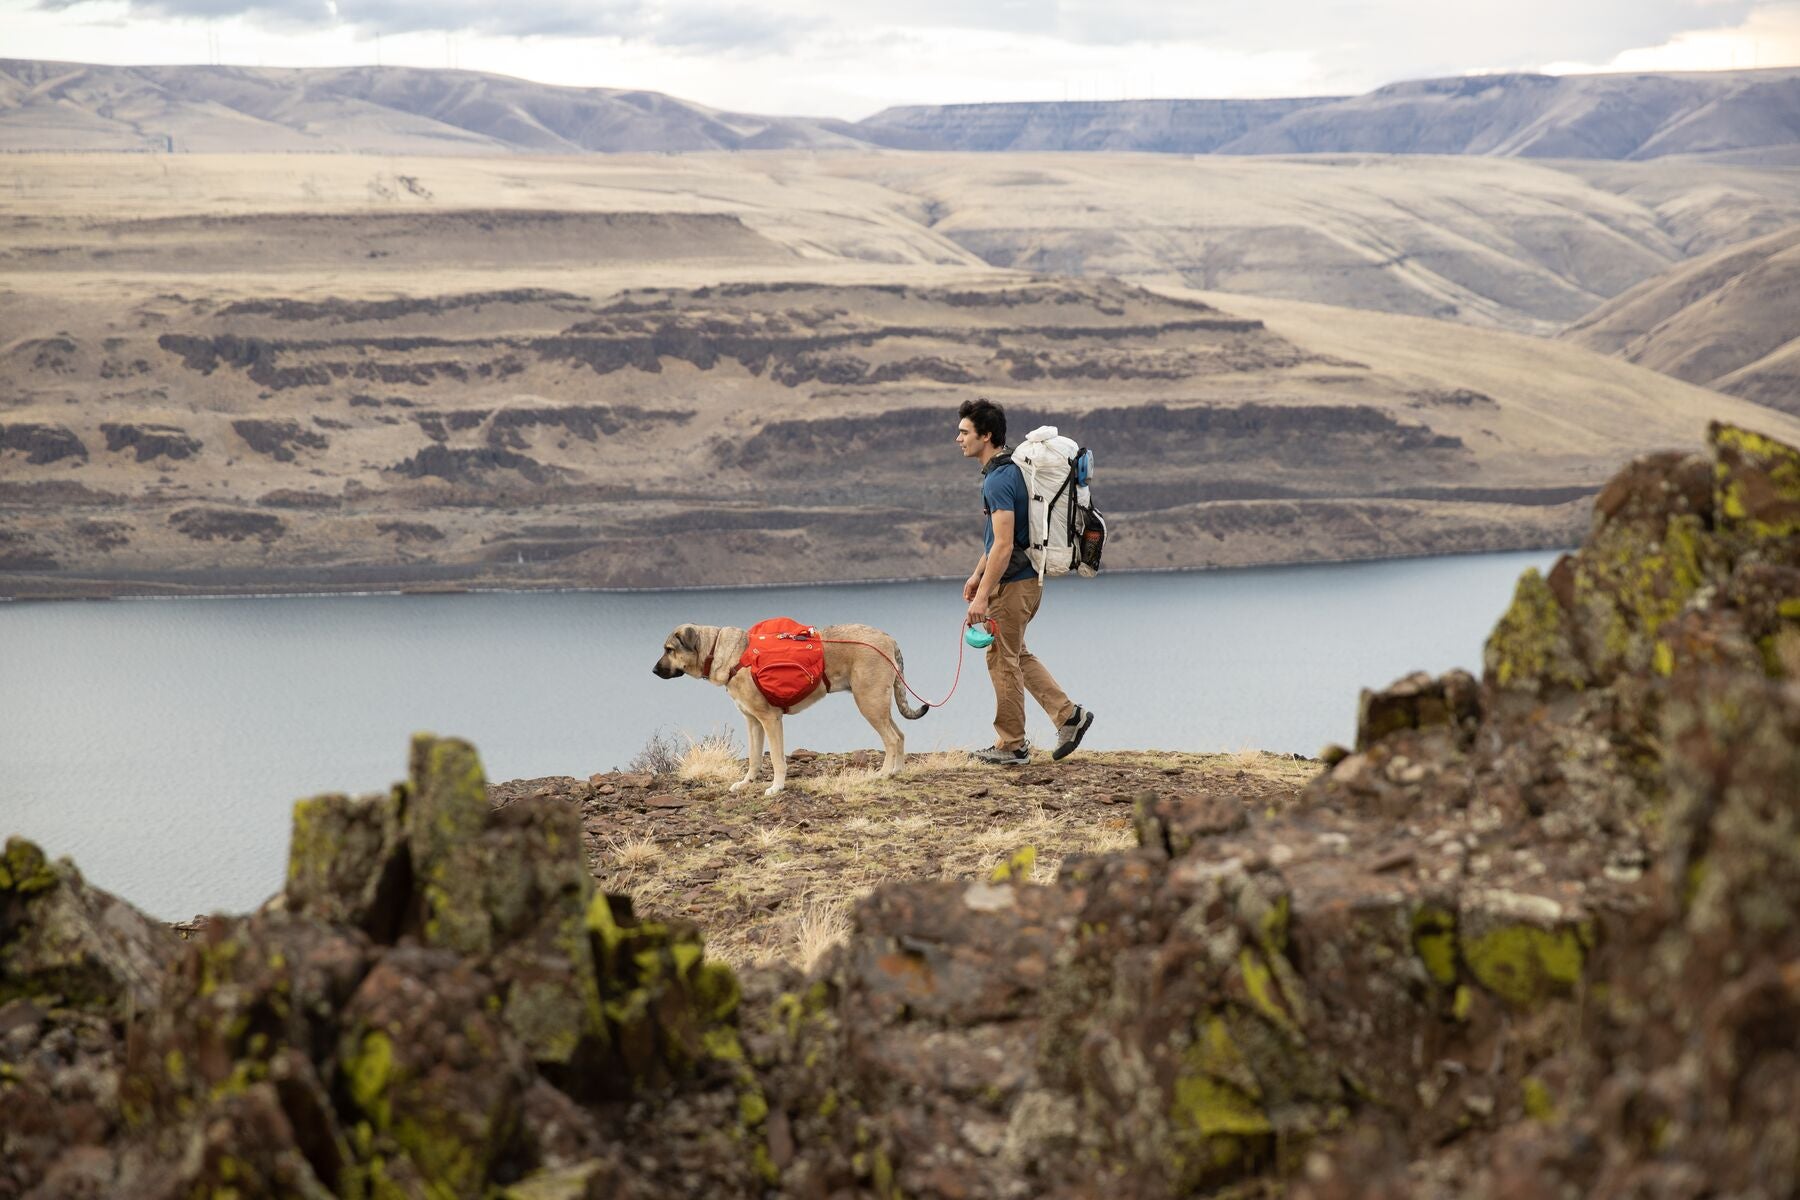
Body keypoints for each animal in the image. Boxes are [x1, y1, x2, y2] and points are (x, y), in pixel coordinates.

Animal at [651, 626, 928, 791]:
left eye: (669, 649)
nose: (653, 670)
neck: (725, 654)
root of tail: (888, 639)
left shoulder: (770, 720)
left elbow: (776, 758)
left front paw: (776, 787)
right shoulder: (753, 722)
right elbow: (754, 757)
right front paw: (747, 782)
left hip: (869, 702)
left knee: (891, 739)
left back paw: (883, 774)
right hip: (878, 704)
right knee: (900, 735)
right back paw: (897, 771)